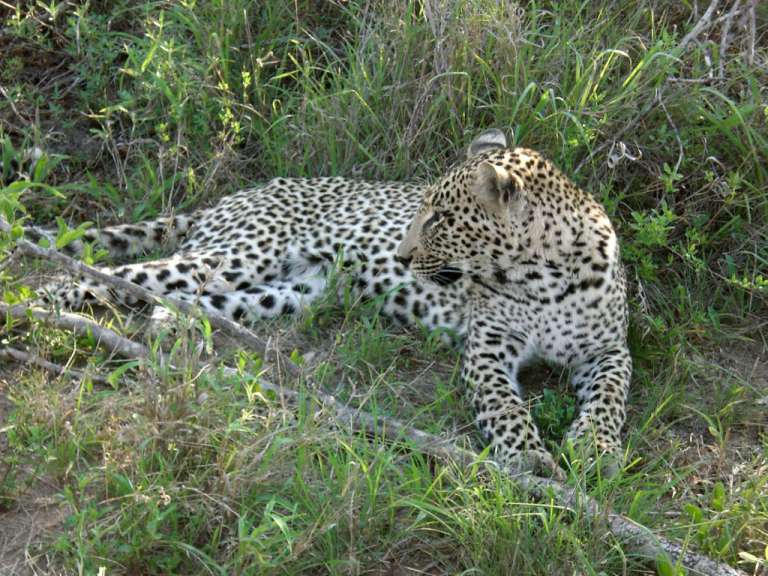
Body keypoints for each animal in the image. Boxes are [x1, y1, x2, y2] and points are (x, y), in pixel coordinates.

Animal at [33, 129, 632, 477]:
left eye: (440, 218)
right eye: (423, 210)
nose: (402, 254)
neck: (540, 275)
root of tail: (237, 194)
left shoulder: (609, 351)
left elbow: (609, 399)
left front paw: (595, 450)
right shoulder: (488, 347)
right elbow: (505, 406)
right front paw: (528, 455)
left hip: (287, 292)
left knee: (177, 304)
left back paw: (172, 337)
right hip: (232, 254)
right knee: (119, 275)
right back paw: (39, 304)